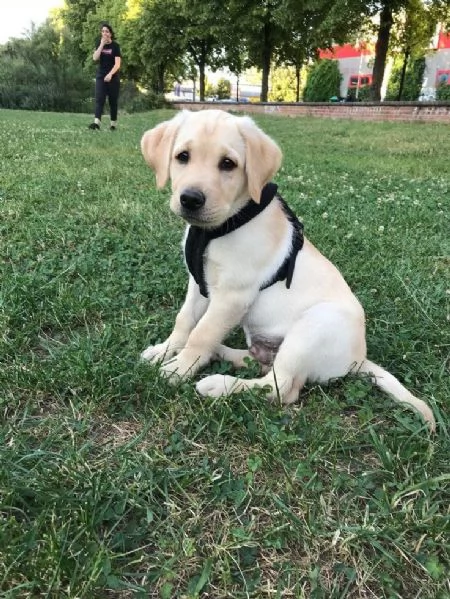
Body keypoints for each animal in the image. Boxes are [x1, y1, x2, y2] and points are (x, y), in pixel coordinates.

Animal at [142, 109, 436, 432]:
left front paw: (179, 369)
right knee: (261, 364)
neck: (219, 229)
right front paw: (165, 350)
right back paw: (222, 353)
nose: (191, 199)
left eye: (228, 164)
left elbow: (202, 333)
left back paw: (218, 384)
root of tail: (358, 359)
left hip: (312, 329)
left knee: (281, 387)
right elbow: (184, 322)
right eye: (182, 156)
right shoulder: (199, 283)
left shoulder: (232, 296)